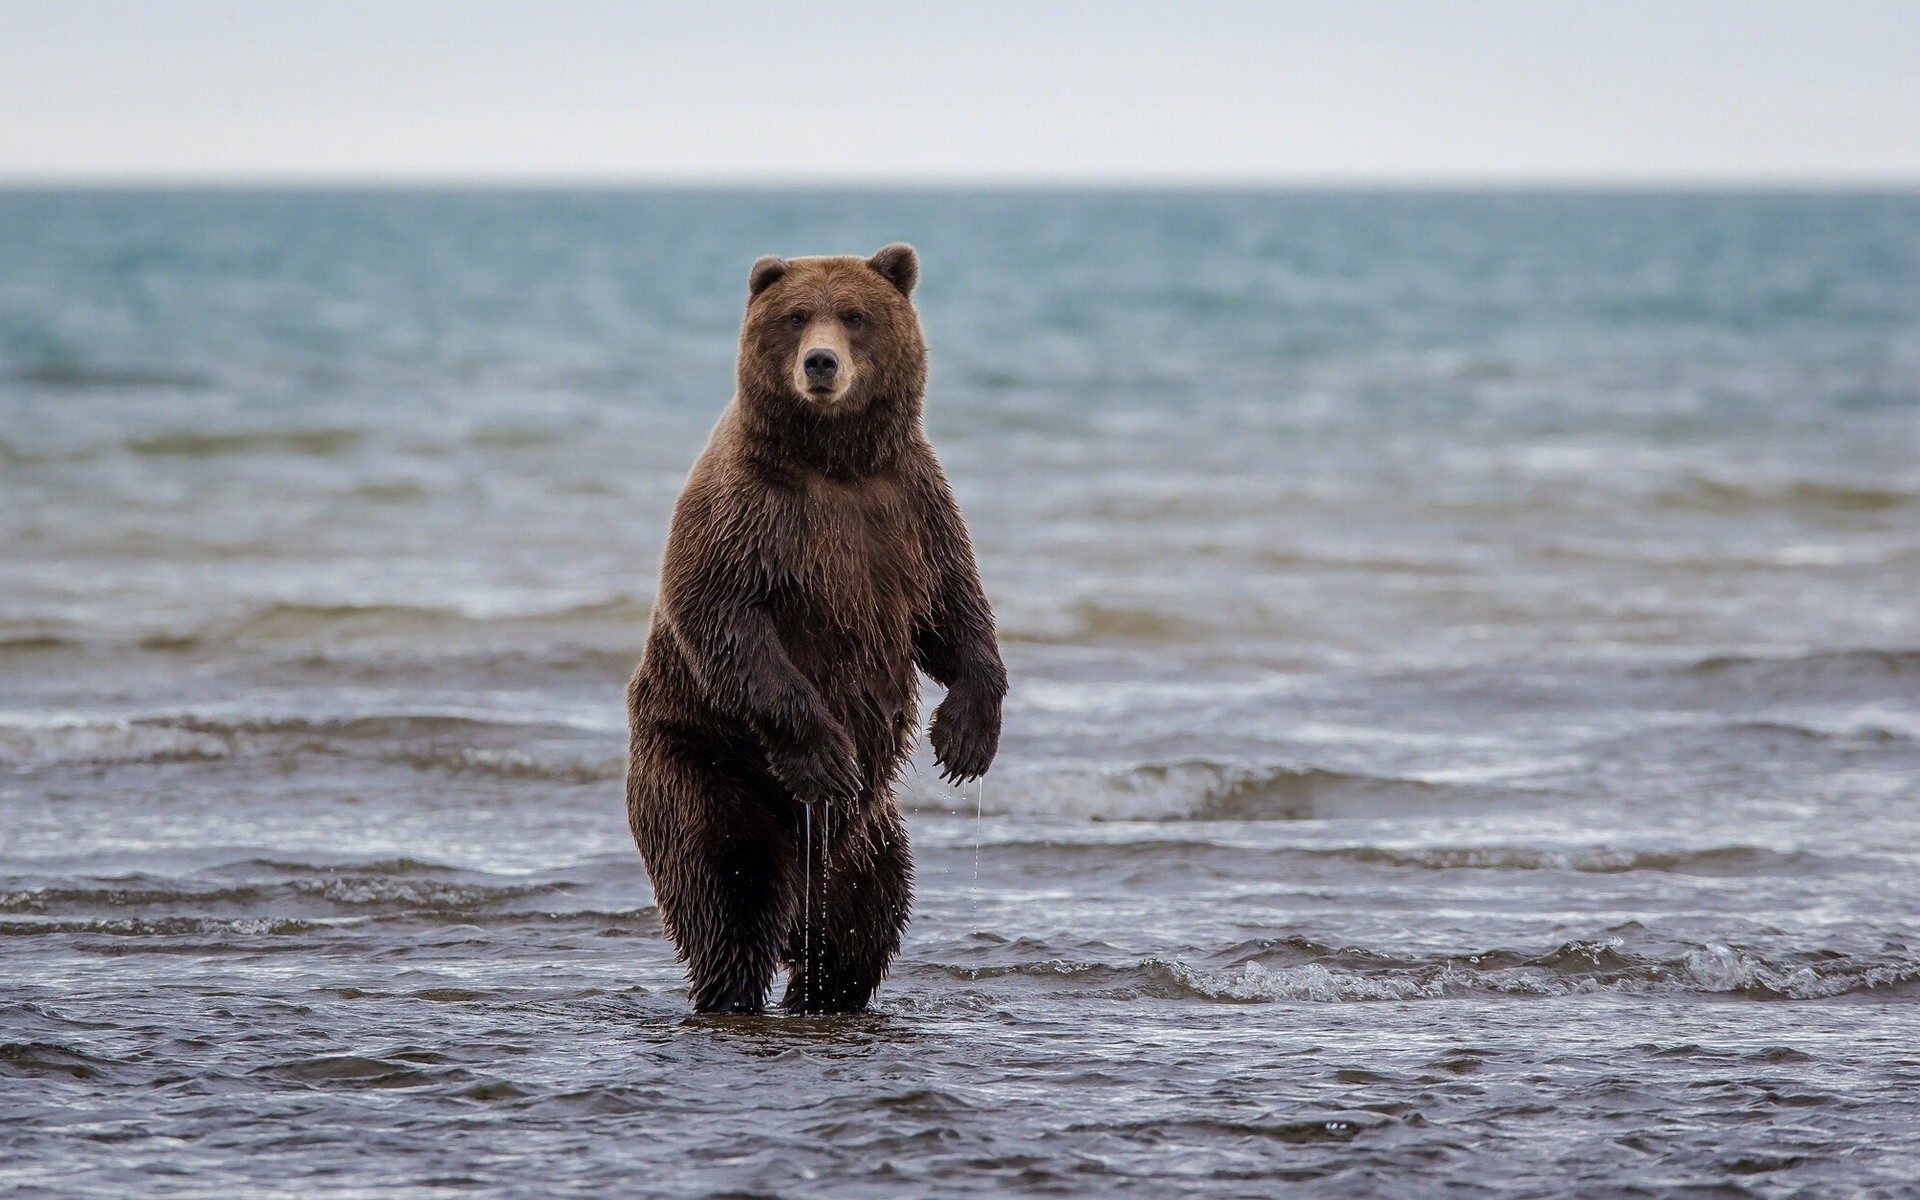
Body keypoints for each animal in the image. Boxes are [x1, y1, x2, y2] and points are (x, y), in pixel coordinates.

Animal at [625, 240, 1006, 1013]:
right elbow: (725, 618)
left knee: (863, 924)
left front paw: (965, 737)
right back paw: (733, 985)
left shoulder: (911, 506)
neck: (836, 464)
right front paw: (826, 753)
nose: (821, 363)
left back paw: (822, 987)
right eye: (797, 316)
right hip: (703, 767)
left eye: (854, 316)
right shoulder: (748, 514)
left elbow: (954, 612)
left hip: (869, 840)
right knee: (728, 898)